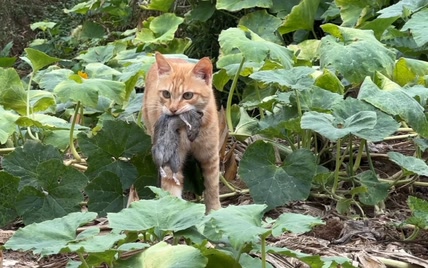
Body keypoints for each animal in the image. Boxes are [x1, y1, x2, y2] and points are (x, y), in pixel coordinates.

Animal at [142, 51, 221, 213]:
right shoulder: (170, 160)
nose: (173, 109)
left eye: (188, 95)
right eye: (166, 94)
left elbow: (212, 188)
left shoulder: (210, 157)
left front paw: (215, 212)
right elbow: (172, 193)